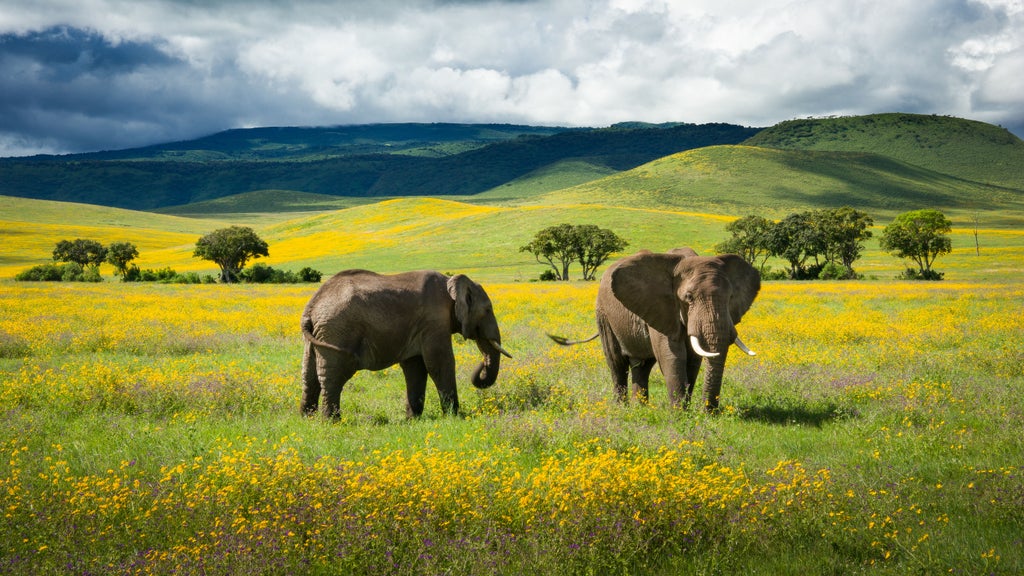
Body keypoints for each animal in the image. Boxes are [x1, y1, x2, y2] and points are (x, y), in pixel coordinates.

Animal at [301, 268, 512, 416]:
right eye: (488, 310)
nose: (480, 366)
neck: (450, 283)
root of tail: (312, 305)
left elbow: (415, 367)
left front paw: (413, 419)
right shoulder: (434, 321)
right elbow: (439, 362)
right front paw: (455, 417)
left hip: (320, 334)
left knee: (309, 374)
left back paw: (307, 418)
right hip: (337, 331)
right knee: (333, 375)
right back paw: (332, 421)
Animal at [552, 247, 761, 407]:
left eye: (731, 297)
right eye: (688, 298)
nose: (708, 412)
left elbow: (693, 360)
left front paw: (687, 411)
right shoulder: (661, 305)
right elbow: (672, 355)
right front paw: (680, 415)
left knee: (642, 365)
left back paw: (640, 408)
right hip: (603, 314)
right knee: (616, 362)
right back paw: (622, 408)